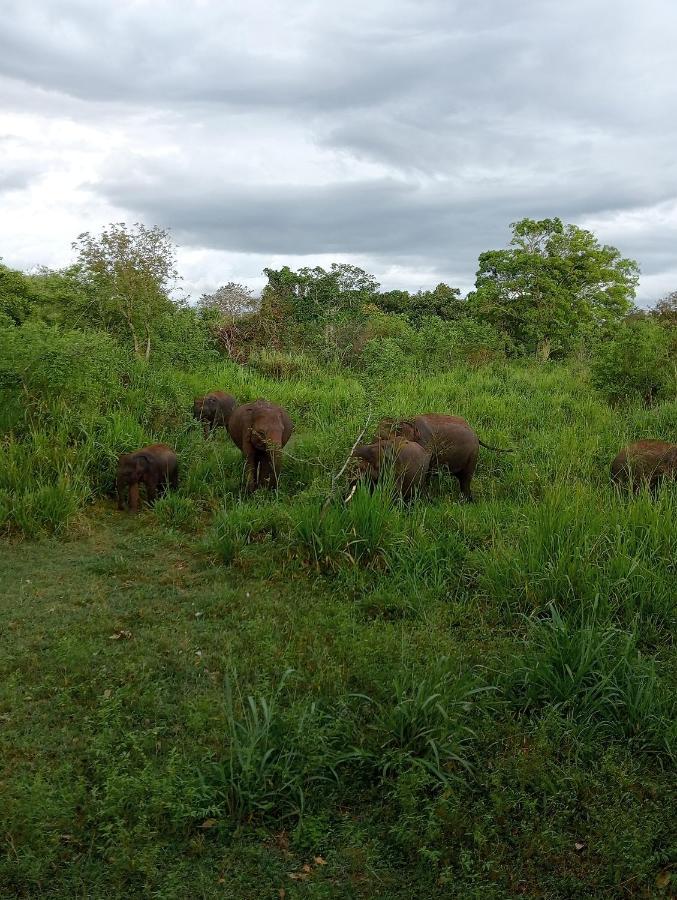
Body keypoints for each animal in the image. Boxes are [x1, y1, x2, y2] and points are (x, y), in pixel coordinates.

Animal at [372, 414, 510, 502]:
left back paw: (464, 502)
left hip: (472, 455)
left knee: (465, 479)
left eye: (384, 441)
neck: (405, 421)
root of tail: (477, 435)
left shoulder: (426, 444)